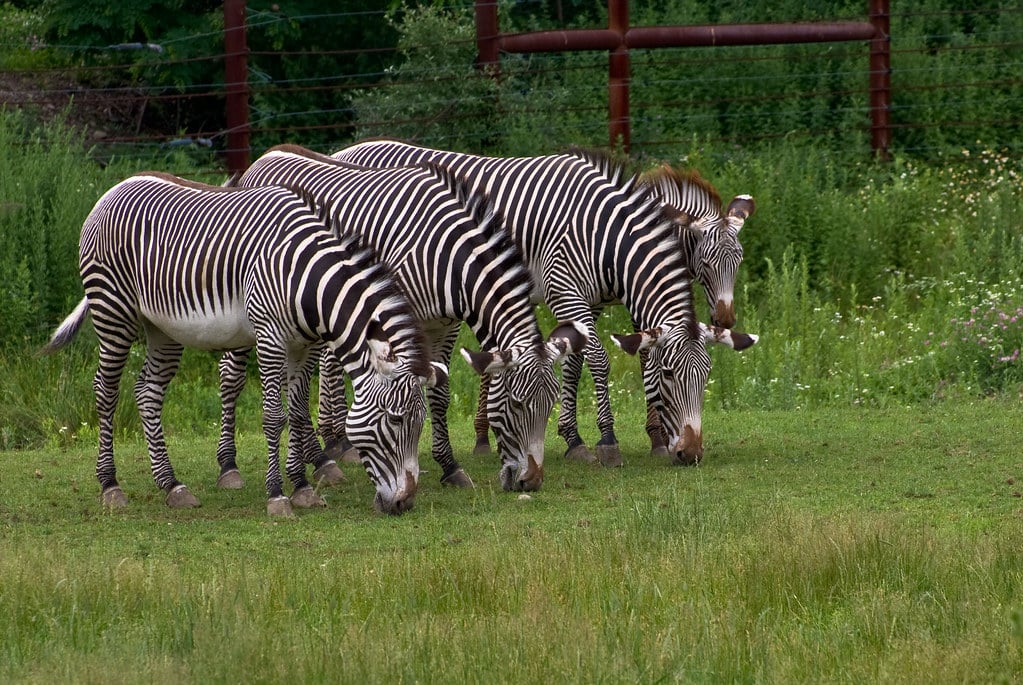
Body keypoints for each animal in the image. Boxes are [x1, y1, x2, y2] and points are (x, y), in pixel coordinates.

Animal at [41, 172, 440, 517]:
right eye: (395, 419)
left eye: (420, 423)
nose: (405, 503)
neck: (307, 280)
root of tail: (113, 189)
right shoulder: (270, 337)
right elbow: (275, 417)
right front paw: (277, 496)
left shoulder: (303, 346)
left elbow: (299, 412)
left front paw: (302, 487)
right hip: (113, 310)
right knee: (105, 392)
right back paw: (111, 486)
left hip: (161, 328)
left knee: (147, 392)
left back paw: (172, 485)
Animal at [222, 145, 588, 491]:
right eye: (517, 404)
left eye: (550, 405)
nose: (531, 481)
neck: (449, 259)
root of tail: (263, 159)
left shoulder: (445, 326)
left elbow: (439, 394)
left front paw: (450, 467)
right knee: (232, 376)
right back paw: (230, 466)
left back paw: (321, 459)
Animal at [332, 139, 759, 466]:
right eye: (705, 263)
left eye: (739, 261)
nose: (724, 319)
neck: (606, 236)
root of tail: (346, 149)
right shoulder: (566, 290)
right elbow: (602, 360)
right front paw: (609, 440)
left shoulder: (592, 300)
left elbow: (576, 362)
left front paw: (575, 438)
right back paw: (339, 445)